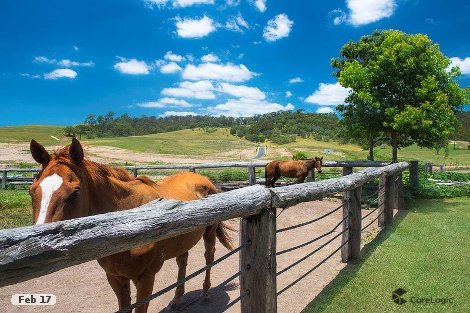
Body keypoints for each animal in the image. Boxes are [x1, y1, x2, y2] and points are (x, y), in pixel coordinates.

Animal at [28, 138, 233, 312]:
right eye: (31, 191)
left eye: (75, 192)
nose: (40, 249)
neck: (129, 226)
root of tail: (206, 181)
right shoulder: (116, 277)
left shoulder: (145, 278)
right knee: (182, 262)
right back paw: (176, 300)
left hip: (209, 233)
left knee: (209, 257)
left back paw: (205, 294)